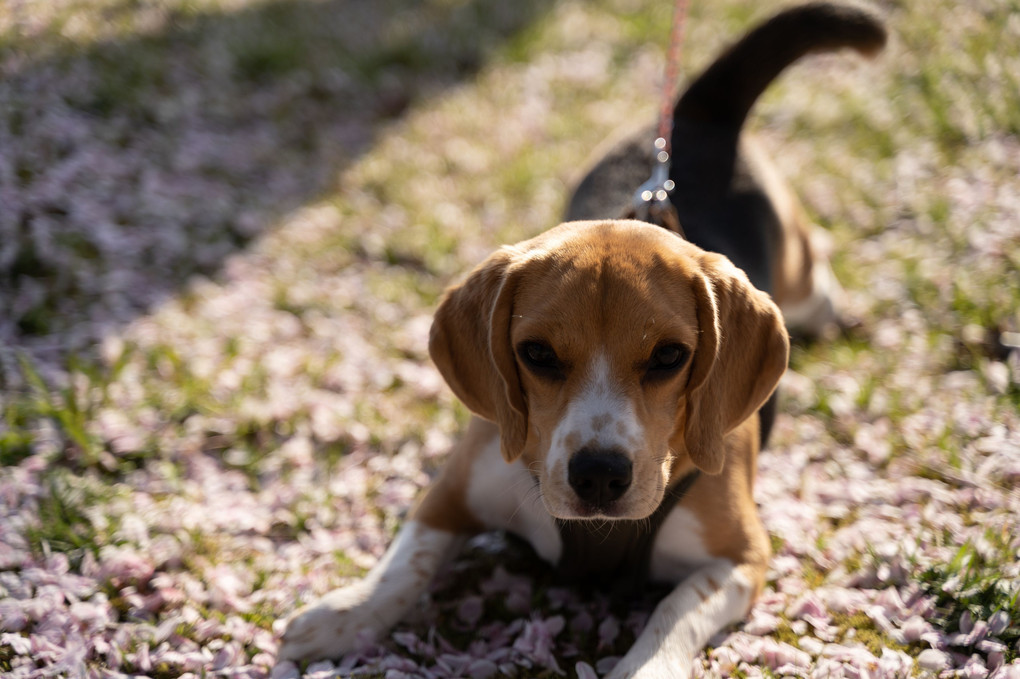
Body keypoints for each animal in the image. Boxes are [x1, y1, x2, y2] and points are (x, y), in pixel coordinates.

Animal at [279, 2, 885, 672]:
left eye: (669, 357)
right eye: (537, 355)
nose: (598, 476)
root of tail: (698, 113)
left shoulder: (739, 558)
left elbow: (671, 616)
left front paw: (642, 668)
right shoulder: (452, 493)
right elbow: (404, 563)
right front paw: (344, 614)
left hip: (799, 280)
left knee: (816, 269)